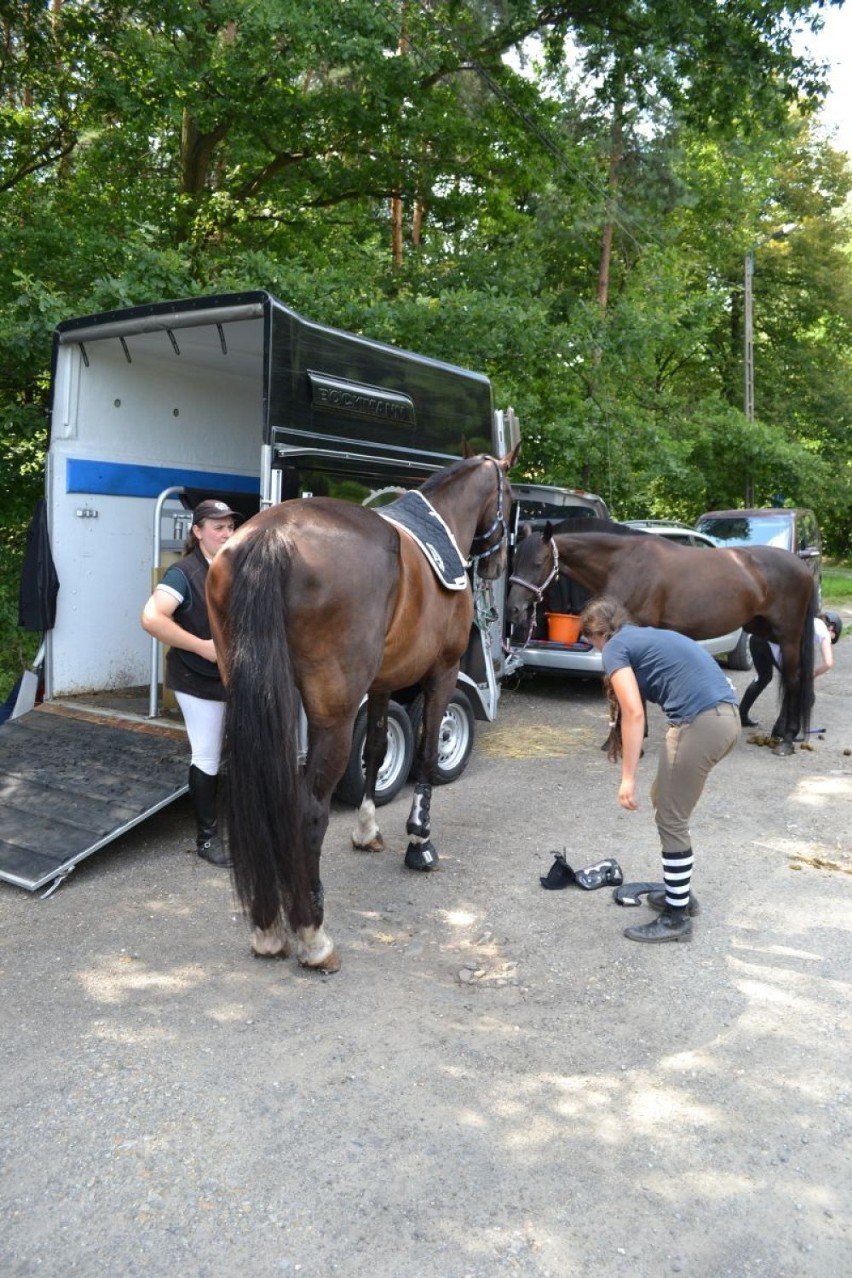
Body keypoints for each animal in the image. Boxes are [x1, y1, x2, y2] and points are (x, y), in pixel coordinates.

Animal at [206, 444, 521, 971]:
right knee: (309, 808)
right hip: (329, 715)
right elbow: (427, 756)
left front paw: (367, 830)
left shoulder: (381, 684)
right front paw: (420, 844)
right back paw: (313, 935)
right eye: (512, 498)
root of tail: (273, 536)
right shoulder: (441, 674)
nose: (496, 566)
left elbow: (375, 750)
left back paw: (268, 927)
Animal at [510, 518, 817, 751]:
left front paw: (627, 742)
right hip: (767, 632)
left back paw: (787, 740)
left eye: (537, 562)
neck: (623, 563)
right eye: (515, 560)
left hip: (789, 636)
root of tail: (802, 566)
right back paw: (781, 731)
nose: (513, 608)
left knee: (793, 679)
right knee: (791, 678)